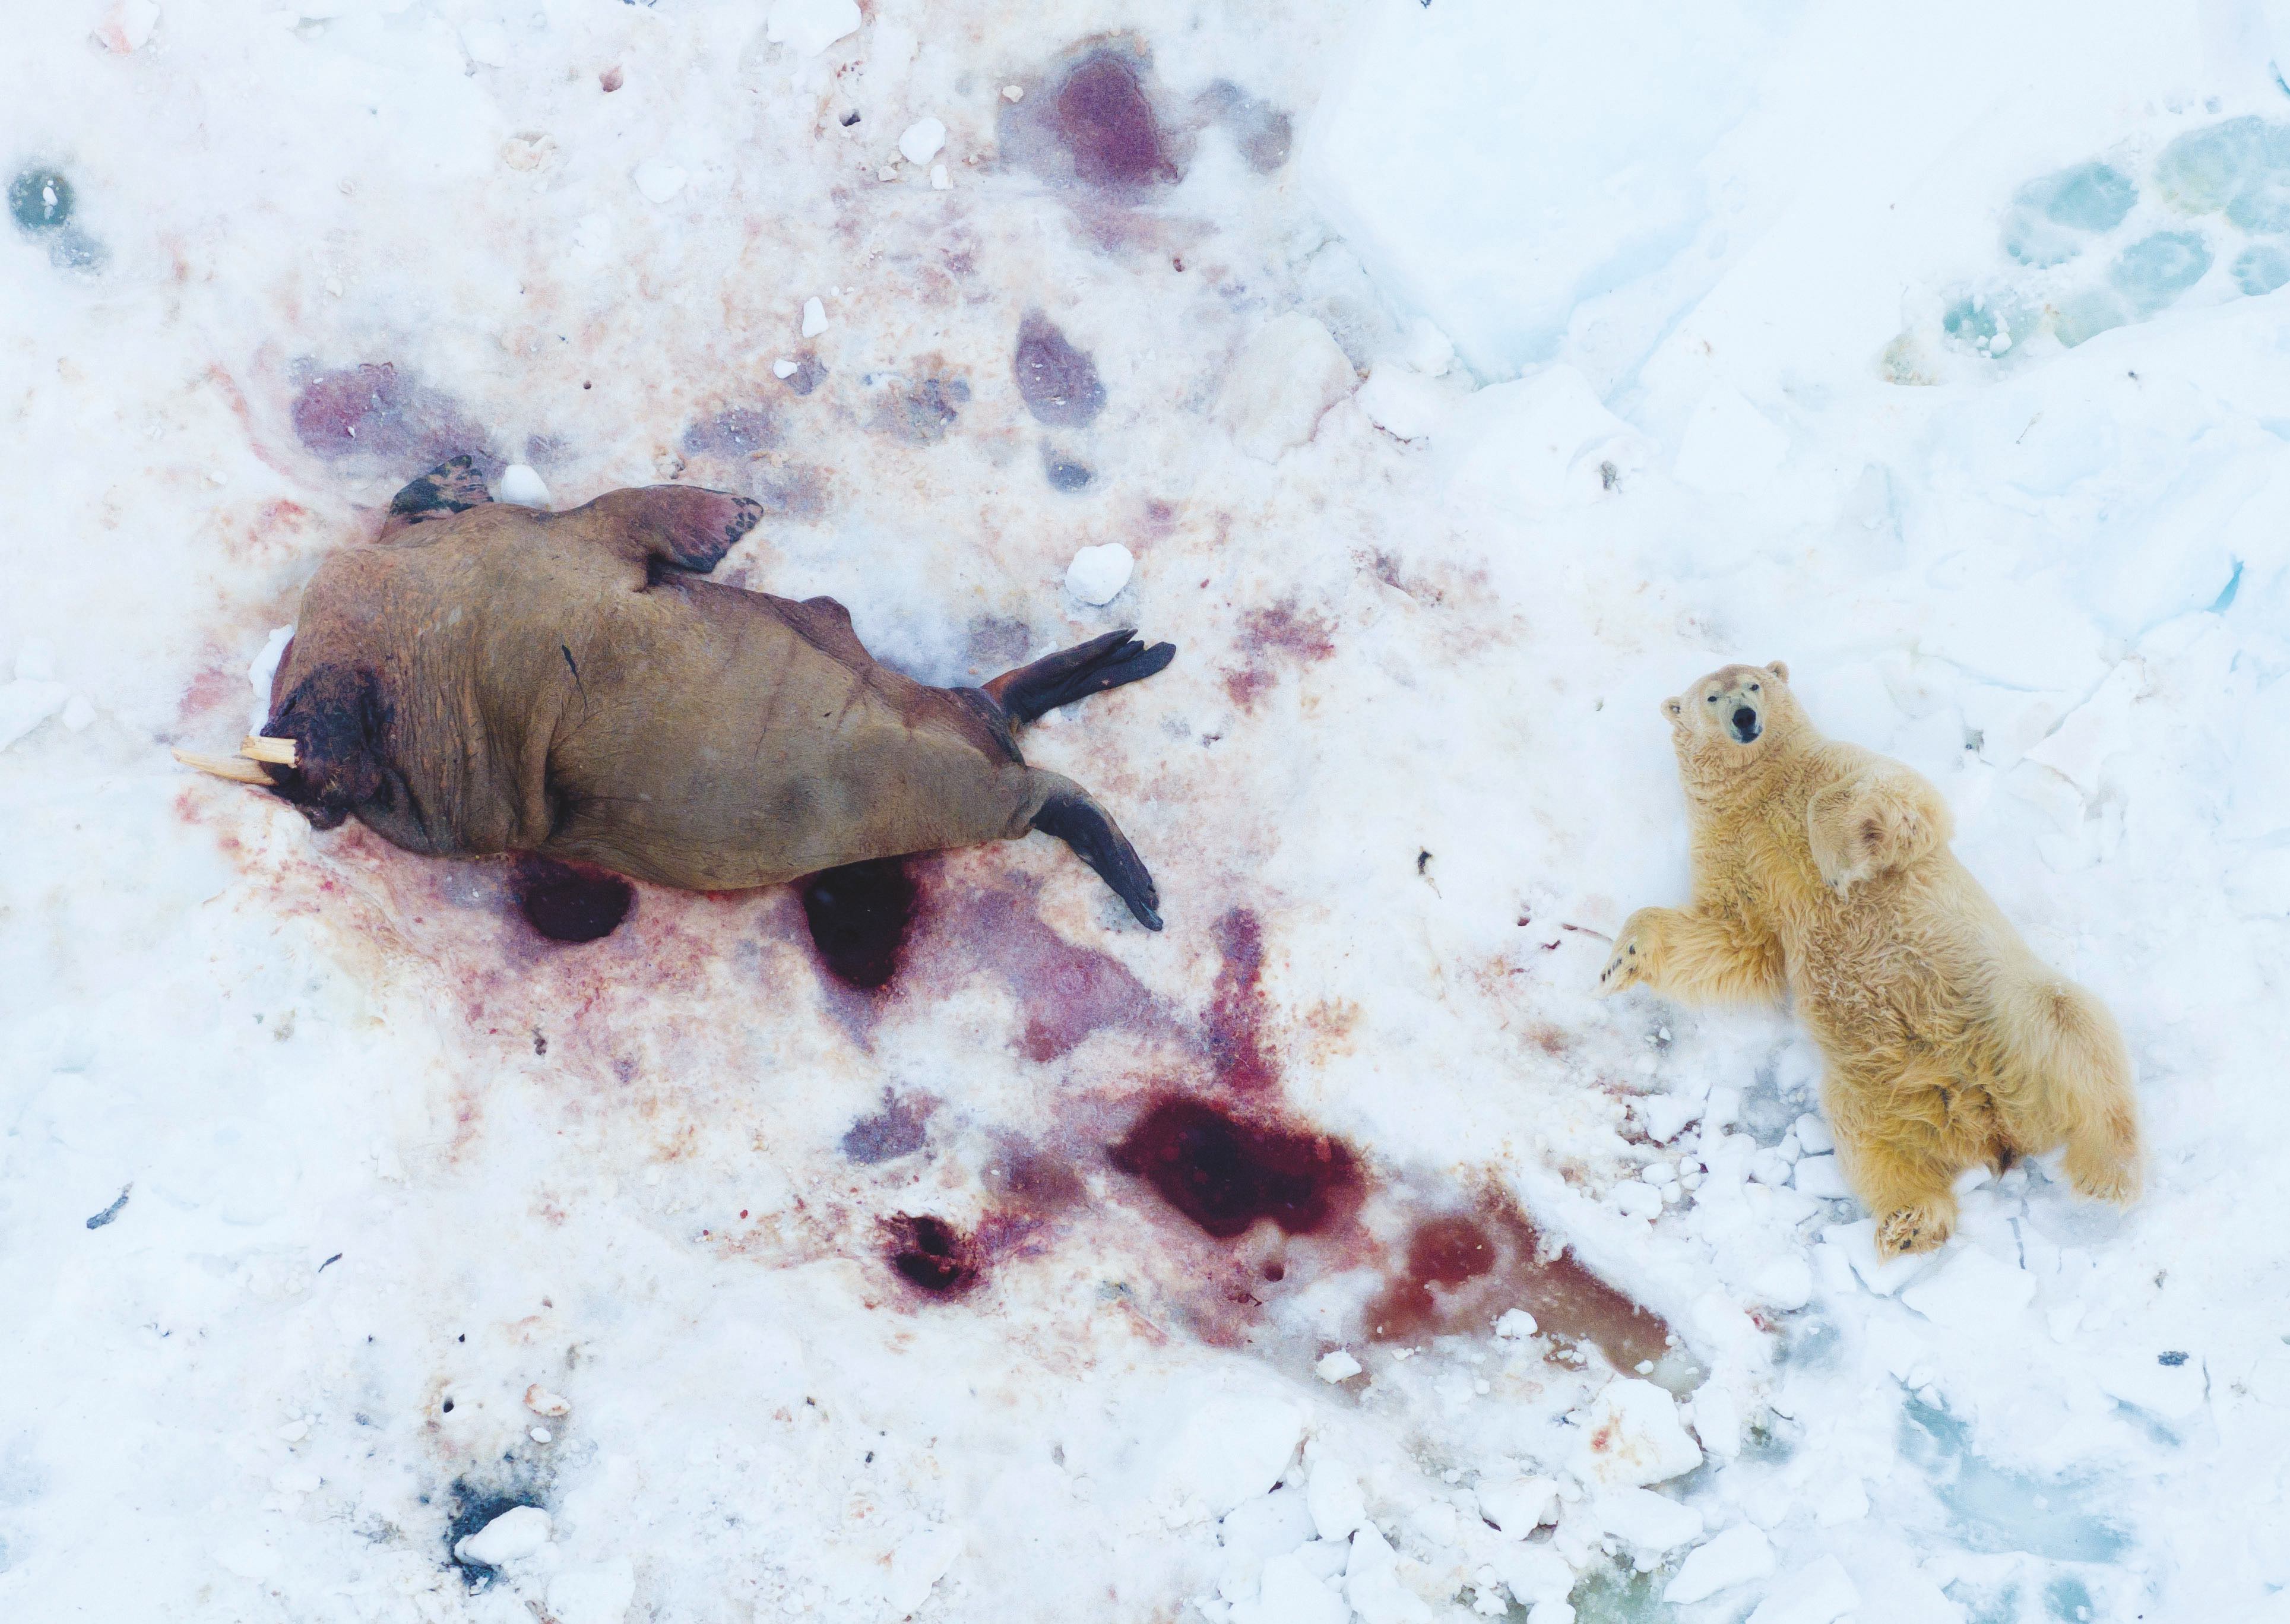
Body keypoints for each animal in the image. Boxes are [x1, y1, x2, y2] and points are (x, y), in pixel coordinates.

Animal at [1596, 661, 2141, 1257]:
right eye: (1711, 696)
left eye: (1755, 684)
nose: (1744, 718)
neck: (1760, 785)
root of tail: (1991, 1122)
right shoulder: (1731, 849)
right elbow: (1737, 939)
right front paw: (1617, 962)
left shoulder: (1838, 765)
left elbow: (1896, 802)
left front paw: (1833, 862)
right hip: (1873, 1090)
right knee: (1873, 1146)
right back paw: (1909, 1223)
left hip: (2005, 1007)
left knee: (2072, 1029)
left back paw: (2103, 1176)